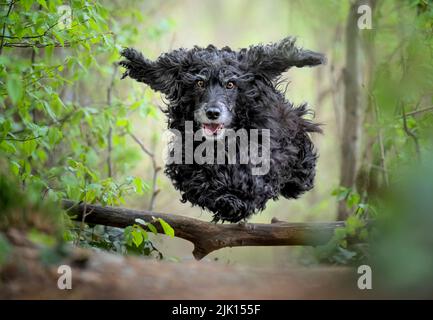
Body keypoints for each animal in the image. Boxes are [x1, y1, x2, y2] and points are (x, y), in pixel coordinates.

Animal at [119, 37, 324, 222]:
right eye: (199, 83)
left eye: (230, 84)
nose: (212, 112)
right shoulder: (186, 163)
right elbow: (200, 182)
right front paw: (225, 198)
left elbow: (252, 177)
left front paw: (233, 200)